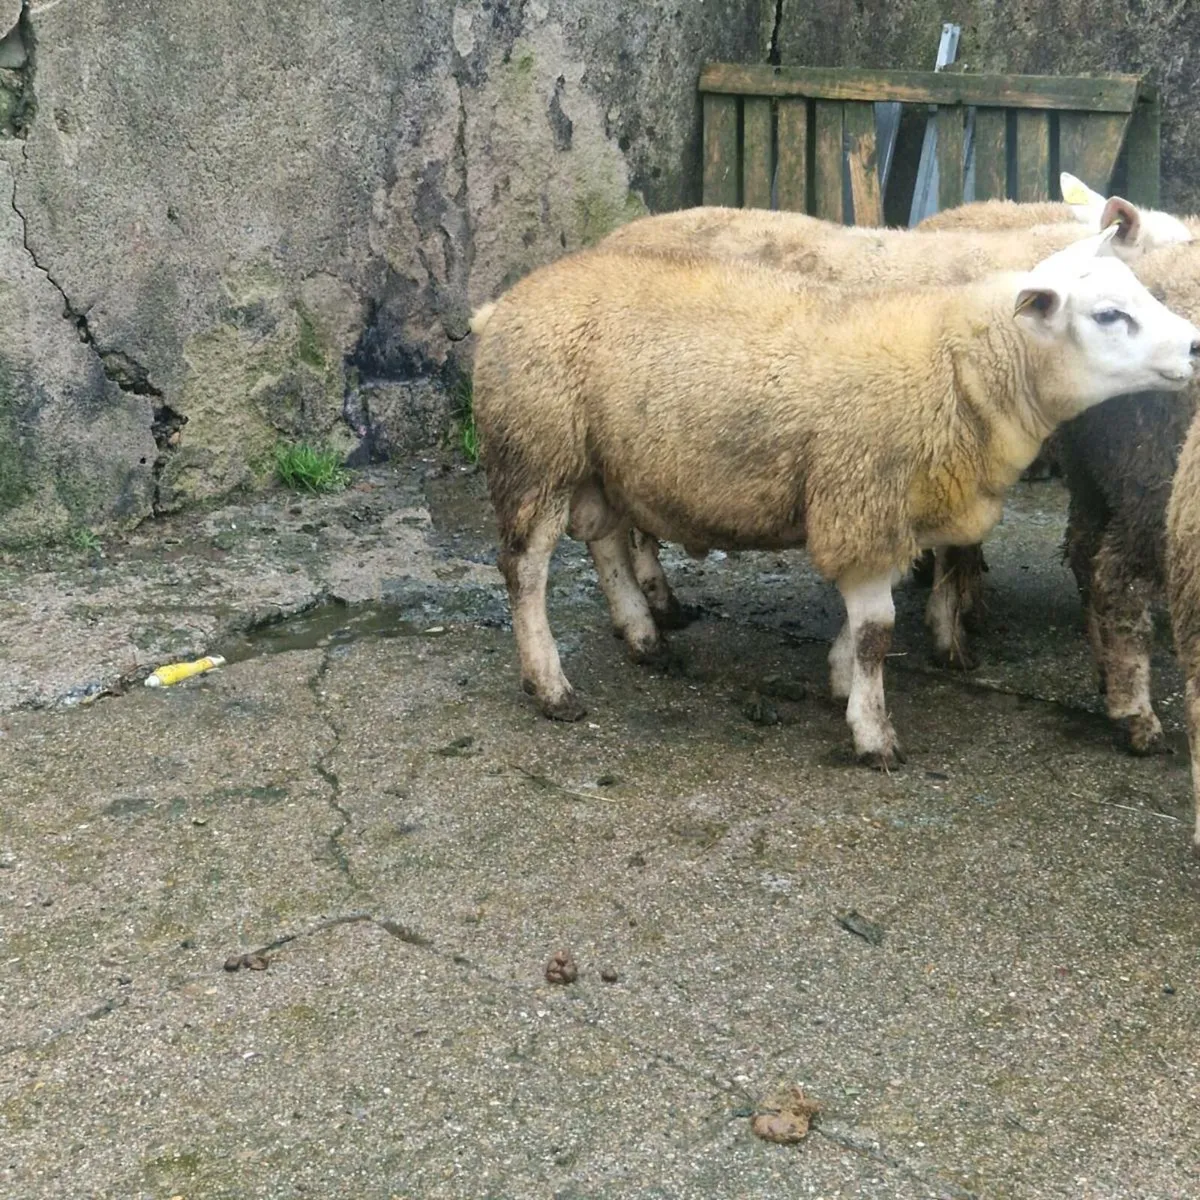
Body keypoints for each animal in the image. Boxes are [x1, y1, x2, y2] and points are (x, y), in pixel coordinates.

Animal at [470, 233, 1200, 766]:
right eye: (1108, 315)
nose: (1195, 345)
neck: (956, 365)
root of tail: (500, 304)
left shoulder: (879, 513)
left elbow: (868, 621)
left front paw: (842, 679)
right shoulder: (863, 499)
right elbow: (879, 631)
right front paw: (873, 733)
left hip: (598, 460)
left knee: (604, 542)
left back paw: (643, 636)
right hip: (535, 448)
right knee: (526, 570)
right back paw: (551, 685)